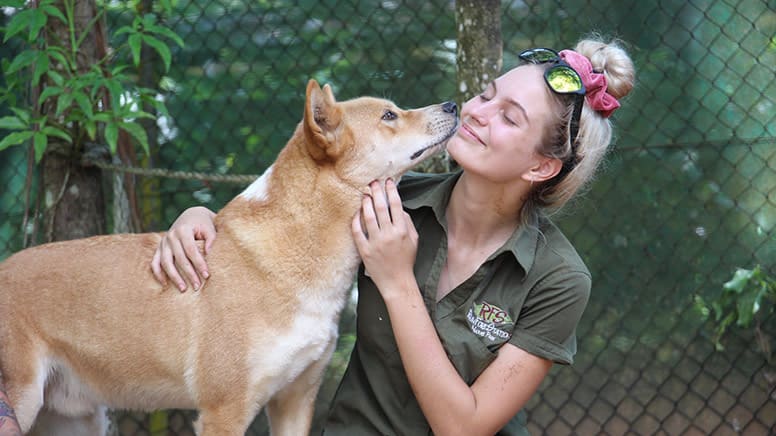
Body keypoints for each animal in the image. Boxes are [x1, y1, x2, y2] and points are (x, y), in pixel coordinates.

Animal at [0, 80, 454, 434]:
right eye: (389, 115)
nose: (452, 105)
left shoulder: (294, 402)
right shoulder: (225, 411)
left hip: (73, 420)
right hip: (21, 403)